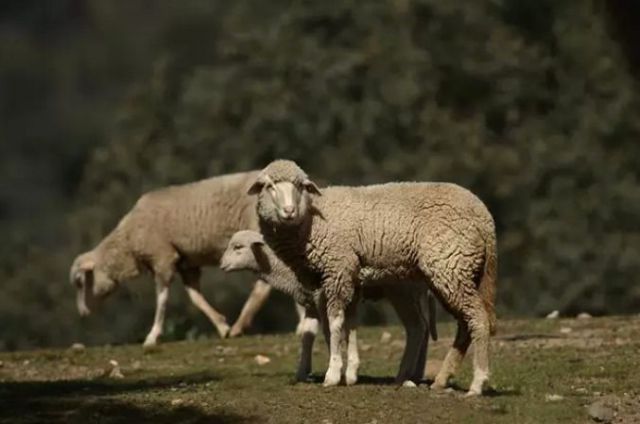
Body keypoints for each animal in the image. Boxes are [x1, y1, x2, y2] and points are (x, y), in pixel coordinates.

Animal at [68, 171, 282, 346]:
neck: (127, 241)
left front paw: (152, 336)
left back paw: (240, 325)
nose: (82, 313)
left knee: (263, 285)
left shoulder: (163, 258)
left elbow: (162, 299)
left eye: (80, 281)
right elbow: (195, 297)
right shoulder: (186, 264)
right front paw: (222, 326)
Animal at [218, 230, 438, 386]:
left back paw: (403, 375)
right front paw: (303, 372)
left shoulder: (325, 299)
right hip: (414, 293)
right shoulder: (312, 303)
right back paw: (414, 375)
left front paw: (338, 371)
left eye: (238, 247)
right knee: (423, 328)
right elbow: (308, 336)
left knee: (416, 328)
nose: (221, 266)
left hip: (402, 291)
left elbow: (332, 333)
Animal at [248, 161, 498, 396]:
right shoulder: (331, 283)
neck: (312, 221)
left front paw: (333, 374)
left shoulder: (338, 269)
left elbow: (336, 323)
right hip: (454, 273)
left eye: (301, 186)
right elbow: (339, 326)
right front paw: (345, 373)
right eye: (269, 186)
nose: (289, 211)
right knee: (463, 325)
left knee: (477, 318)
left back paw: (477, 383)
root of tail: (485, 217)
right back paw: (441, 380)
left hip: (450, 266)